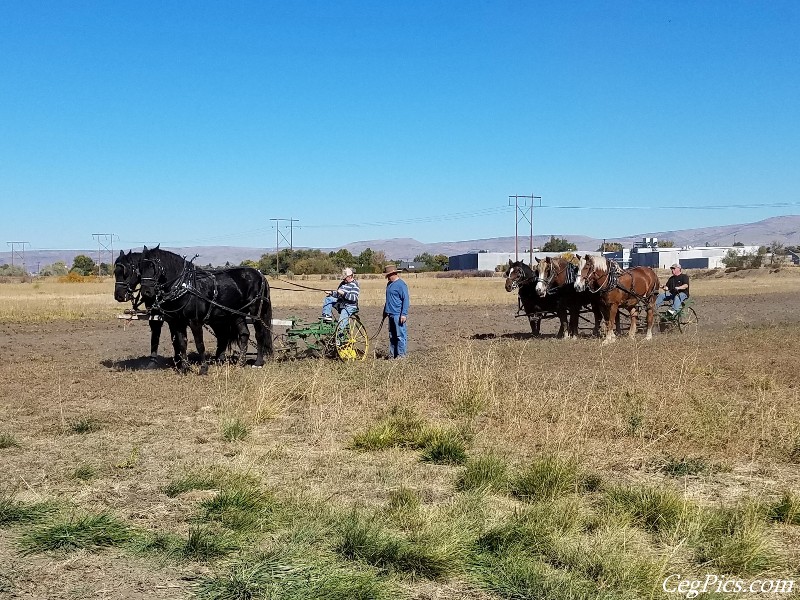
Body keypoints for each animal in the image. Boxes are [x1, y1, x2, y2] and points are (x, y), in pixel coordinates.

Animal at [138, 246, 276, 372]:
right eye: (140, 267)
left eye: (153, 266)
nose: (146, 292)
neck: (185, 285)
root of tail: (260, 275)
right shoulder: (178, 322)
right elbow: (182, 343)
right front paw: (184, 368)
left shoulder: (195, 321)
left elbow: (199, 344)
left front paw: (203, 368)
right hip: (237, 314)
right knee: (244, 334)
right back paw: (240, 363)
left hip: (256, 312)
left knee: (259, 334)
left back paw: (258, 362)